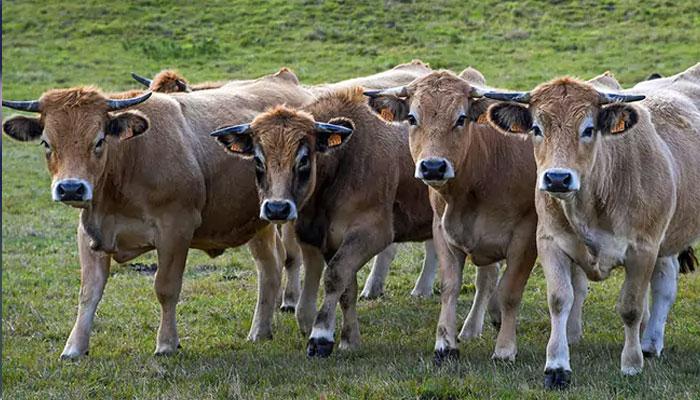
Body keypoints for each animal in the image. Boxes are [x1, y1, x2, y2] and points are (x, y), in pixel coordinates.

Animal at [2, 67, 314, 358]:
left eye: (99, 140)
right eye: (46, 143)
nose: (70, 188)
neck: (129, 161)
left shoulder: (176, 229)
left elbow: (165, 287)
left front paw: (166, 343)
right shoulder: (90, 232)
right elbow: (89, 292)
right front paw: (74, 347)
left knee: (287, 261)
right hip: (260, 222)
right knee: (270, 266)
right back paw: (261, 330)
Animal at [211, 87, 434, 356]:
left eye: (304, 159)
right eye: (258, 160)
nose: (277, 208)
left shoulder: (373, 233)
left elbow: (334, 276)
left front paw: (321, 335)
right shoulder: (328, 240)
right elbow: (347, 288)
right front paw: (350, 339)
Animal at [484, 64, 700, 390]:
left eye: (588, 129)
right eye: (536, 128)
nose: (557, 178)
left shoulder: (643, 249)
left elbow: (631, 307)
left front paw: (631, 364)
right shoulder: (550, 243)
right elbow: (560, 299)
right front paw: (556, 366)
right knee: (664, 281)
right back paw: (651, 343)